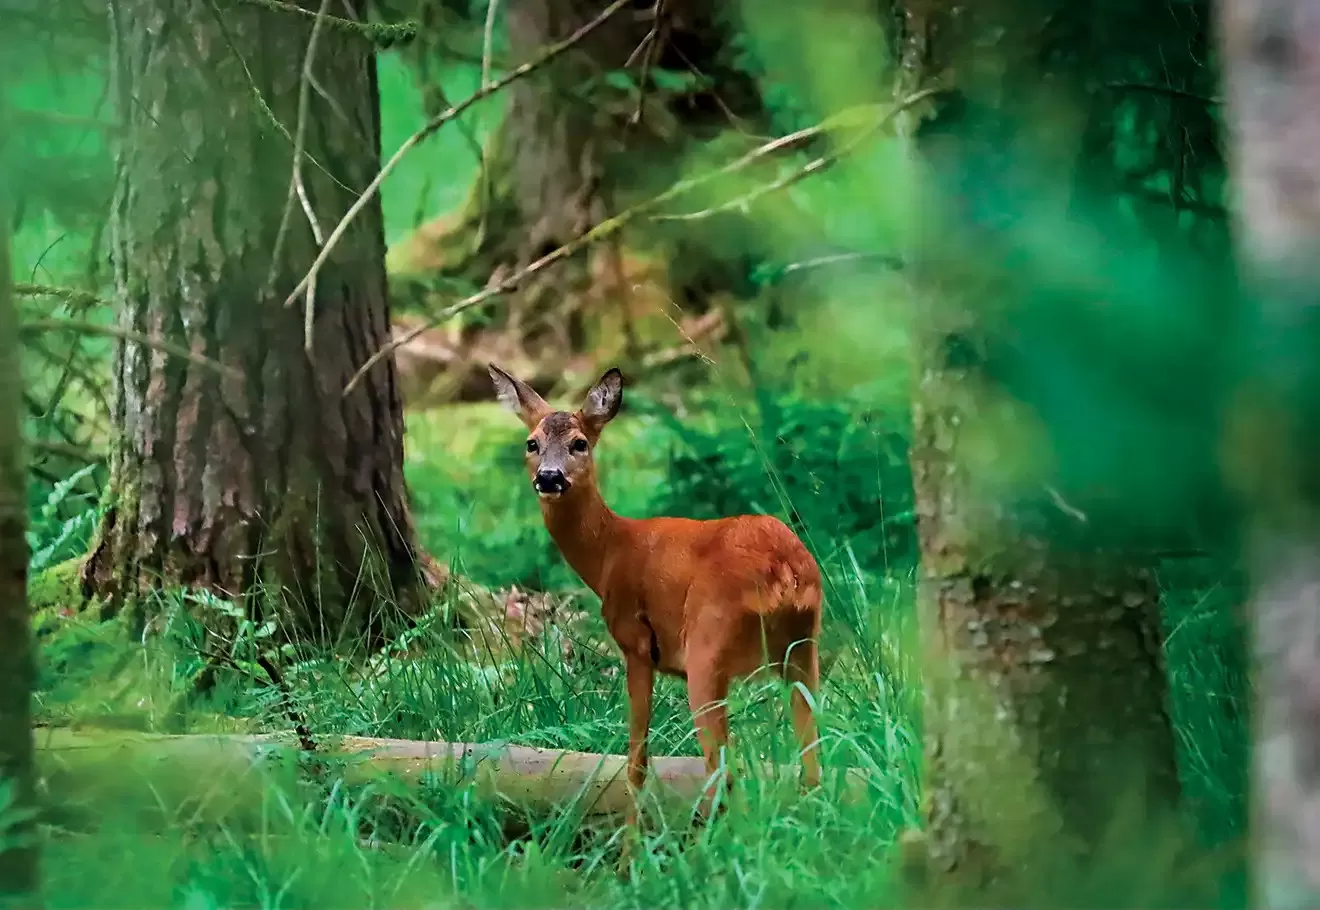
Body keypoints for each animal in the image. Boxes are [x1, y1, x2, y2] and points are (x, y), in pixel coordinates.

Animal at [485, 364, 818, 840]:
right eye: (532, 443)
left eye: (580, 443)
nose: (549, 477)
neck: (610, 552)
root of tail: (784, 571)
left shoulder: (636, 643)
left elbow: (636, 763)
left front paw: (630, 852)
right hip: (804, 644)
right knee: (813, 755)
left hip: (708, 647)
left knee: (724, 769)